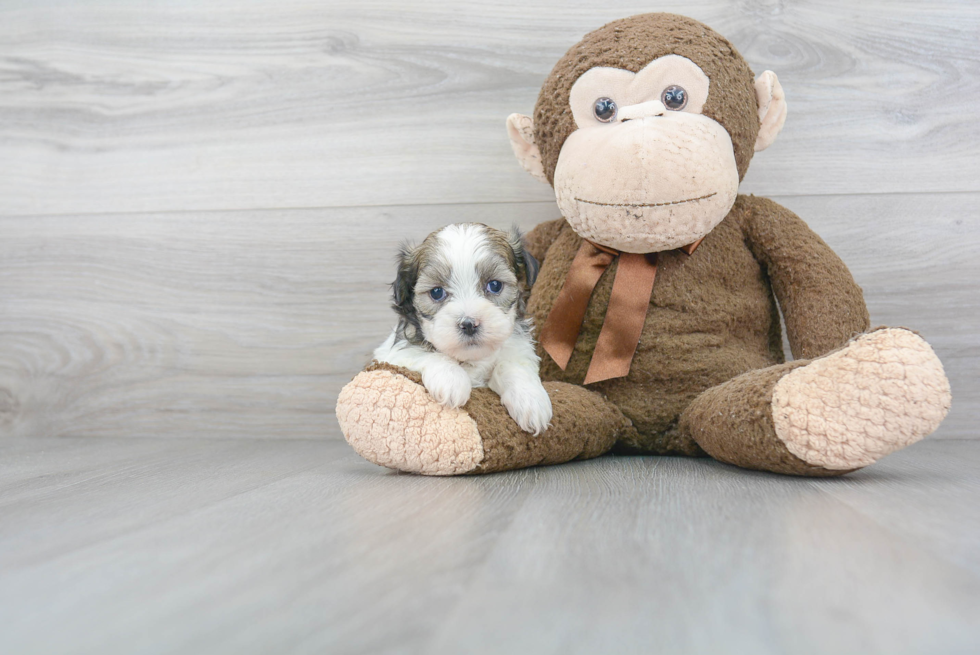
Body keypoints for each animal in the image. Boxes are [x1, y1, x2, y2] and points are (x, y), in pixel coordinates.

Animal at [374, 224, 552, 436]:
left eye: (495, 285)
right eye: (436, 292)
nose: (469, 324)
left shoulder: (519, 349)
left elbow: (513, 366)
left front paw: (531, 401)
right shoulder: (391, 354)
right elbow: (424, 354)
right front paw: (451, 380)